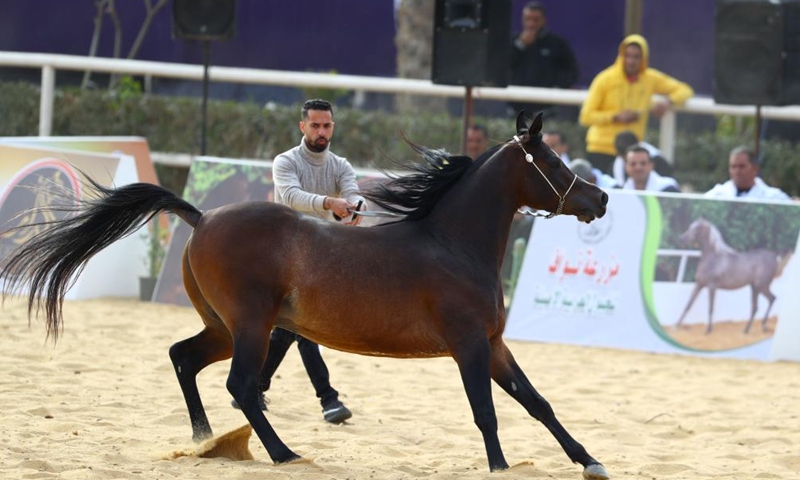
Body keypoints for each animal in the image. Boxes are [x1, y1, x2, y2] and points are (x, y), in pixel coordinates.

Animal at [0, 112, 609, 479]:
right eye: (552, 162)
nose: (600, 199)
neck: (453, 244)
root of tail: (202, 216)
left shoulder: (495, 344)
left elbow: (538, 403)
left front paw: (590, 461)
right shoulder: (468, 347)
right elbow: (487, 412)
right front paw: (502, 467)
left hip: (226, 328)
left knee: (185, 358)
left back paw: (204, 440)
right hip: (251, 325)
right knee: (240, 385)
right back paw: (282, 452)